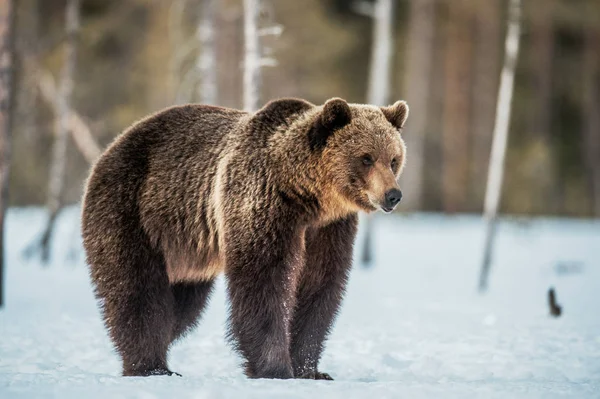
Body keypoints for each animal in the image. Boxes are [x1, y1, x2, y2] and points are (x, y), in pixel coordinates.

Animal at [81, 97, 408, 382]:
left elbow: (318, 287)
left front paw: (311, 370)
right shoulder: (262, 202)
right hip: (132, 208)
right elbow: (263, 282)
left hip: (186, 253)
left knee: (181, 307)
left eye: (393, 159)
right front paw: (274, 367)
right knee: (137, 290)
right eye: (366, 158)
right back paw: (150, 366)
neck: (305, 195)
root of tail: (112, 146)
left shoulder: (327, 228)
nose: (393, 195)